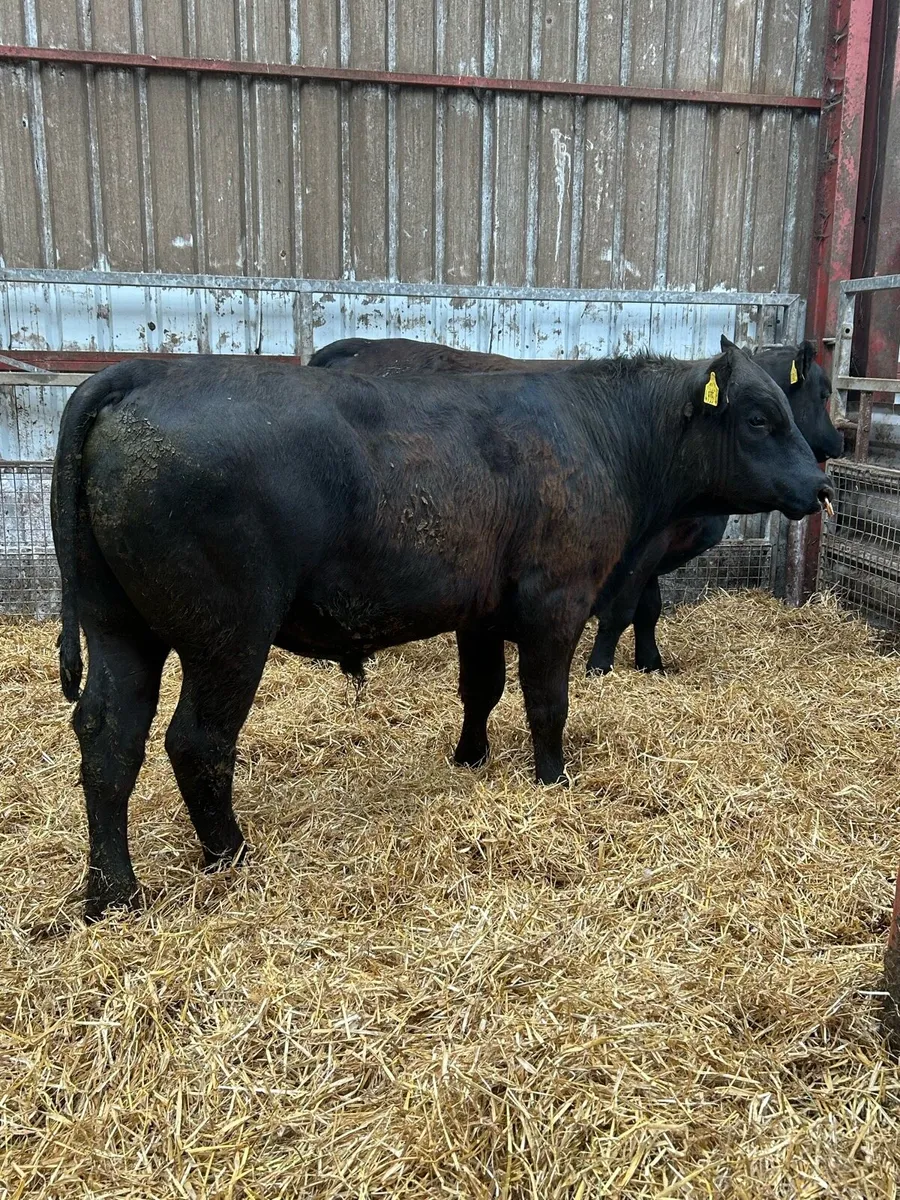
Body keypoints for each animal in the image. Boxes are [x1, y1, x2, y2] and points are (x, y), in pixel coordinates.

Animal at [309, 336, 843, 674]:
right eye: (760, 419)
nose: (824, 479)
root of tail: (359, 344)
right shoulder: (641, 547)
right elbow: (623, 609)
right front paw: (600, 666)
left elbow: (649, 608)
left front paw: (651, 663)